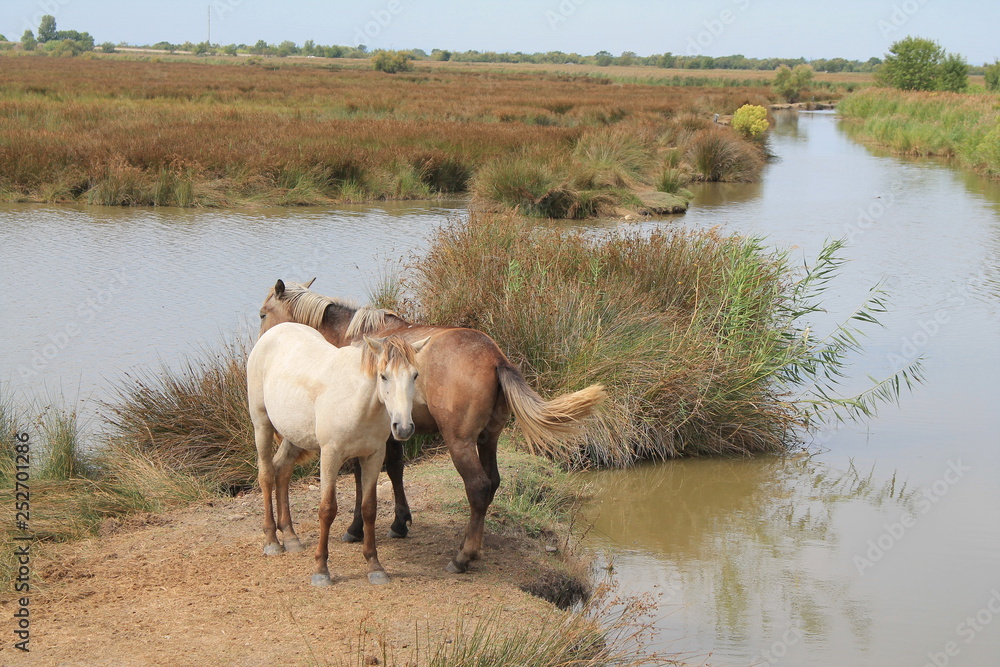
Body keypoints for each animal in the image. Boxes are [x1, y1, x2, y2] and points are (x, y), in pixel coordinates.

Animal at [247, 321, 428, 586]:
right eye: (383, 376)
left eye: (414, 375)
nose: (403, 428)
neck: (355, 400)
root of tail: (276, 329)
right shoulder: (330, 456)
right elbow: (327, 509)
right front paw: (321, 570)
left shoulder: (373, 456)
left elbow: (369, 508)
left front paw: (375, 566)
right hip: (261, 424)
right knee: (267, 475)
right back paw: (272, 541)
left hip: (293, 434)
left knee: (283, 471)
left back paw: (290, 536)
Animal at [258, 278, 606, 574]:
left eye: (263, 313)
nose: (260, 340)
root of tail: (496, 358)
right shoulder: (392, 433)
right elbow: (395, 470)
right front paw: (400, 523)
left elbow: (362, 478)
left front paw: (356, 529)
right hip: (488, 438)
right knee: (493, 482)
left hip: (460, 441)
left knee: (478, 487)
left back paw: (463, 556)